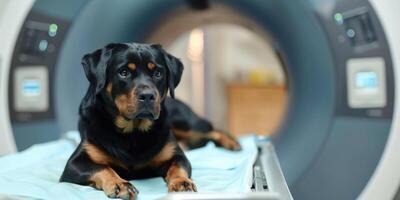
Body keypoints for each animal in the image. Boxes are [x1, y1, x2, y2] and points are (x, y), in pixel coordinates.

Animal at [59, 43, 241, 199]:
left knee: (211, 129)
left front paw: (182, 182)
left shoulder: (176, 154)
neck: (133, 132)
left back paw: (232, 143)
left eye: (158, 73)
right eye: (124, 72)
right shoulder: (75, 163)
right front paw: (120, 184)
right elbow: (102, 167)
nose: (147, 95)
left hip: (185, 123)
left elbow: (177, 167)